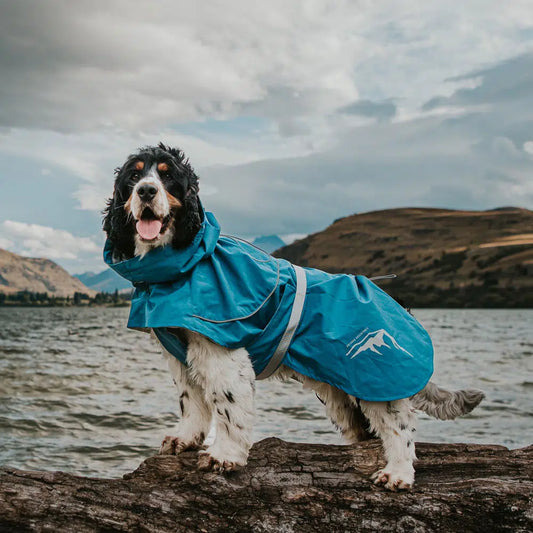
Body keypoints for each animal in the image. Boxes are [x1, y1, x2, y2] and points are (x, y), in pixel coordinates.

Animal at [102, 142, 484, 490]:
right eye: (134, 175)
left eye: (168, 177)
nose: (146, 191)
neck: (185, 265)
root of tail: (397, 304)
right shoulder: (182, 354)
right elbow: (191, 402)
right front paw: (185, 439)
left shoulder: (222, 351)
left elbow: (227, 407)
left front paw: (224, 456)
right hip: (341, 389)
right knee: (365, 430)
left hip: (377, 376)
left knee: (399, 426)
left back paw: (398, 473)